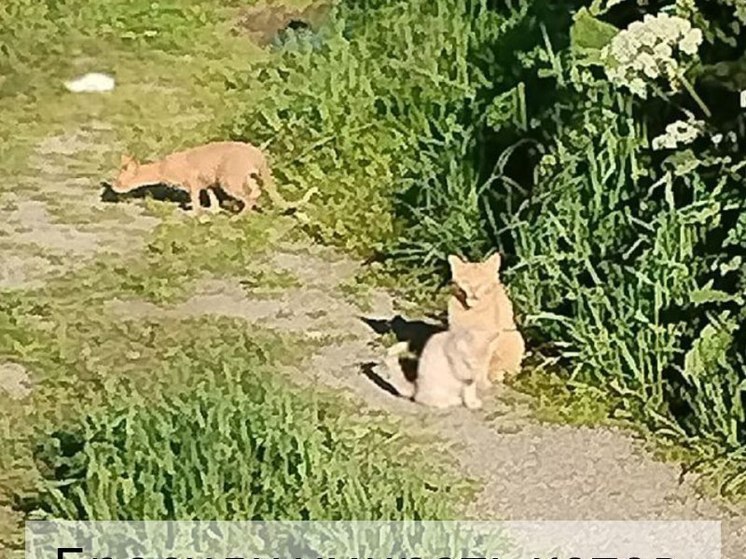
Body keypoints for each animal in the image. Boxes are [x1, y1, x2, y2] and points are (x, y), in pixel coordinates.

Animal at [112, 141, 316, 215]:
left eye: (119, 182)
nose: (113, 188)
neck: (161, 167)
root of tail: (257, 153)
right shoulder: (208, 181)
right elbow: (211, 196)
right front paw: (213, 209)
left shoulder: (193, 180)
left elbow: (195, 199)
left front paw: (194, 213)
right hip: (240, 176)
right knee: (256, 191)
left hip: (229, 180)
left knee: (250, 197)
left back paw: (238, 217)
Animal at [444, 252, 528, 388]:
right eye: (466, 281)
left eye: (482, 282)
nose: (474, 290)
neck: (472, 311)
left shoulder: (488, 339)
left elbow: (483, 362)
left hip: (516, 338)